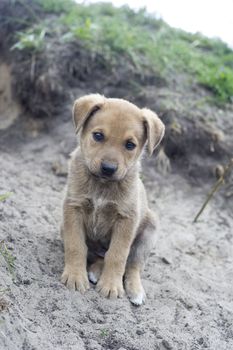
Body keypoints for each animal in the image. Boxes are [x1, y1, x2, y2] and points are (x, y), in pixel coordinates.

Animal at [61, 94, 165, 304]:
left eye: (130, 145)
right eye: (98, 136)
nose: (108, 168)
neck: (102, 185)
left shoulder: (126, 220)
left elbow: (118, 255)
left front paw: (111, 285)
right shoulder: (73, 208)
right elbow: (76, 245)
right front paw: (75, 276)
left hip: (149, 232)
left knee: (133, 265)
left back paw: (135, 290)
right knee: (96, 254)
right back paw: (94, 270)